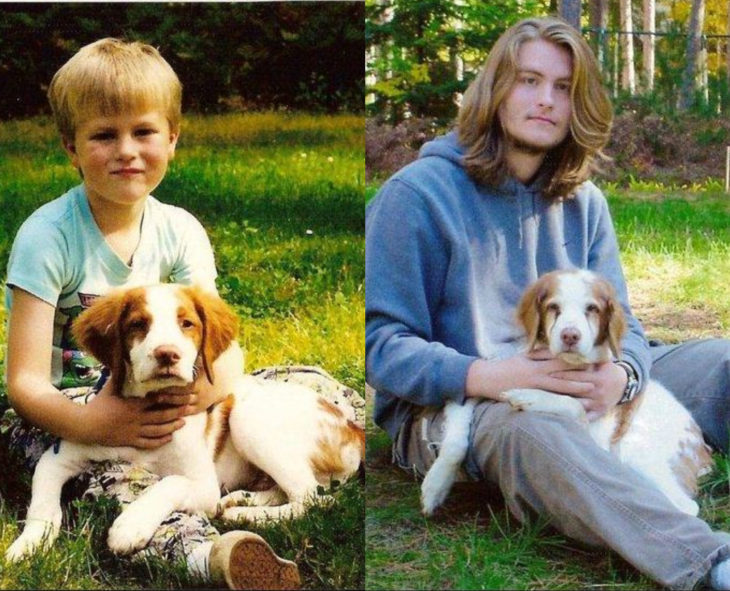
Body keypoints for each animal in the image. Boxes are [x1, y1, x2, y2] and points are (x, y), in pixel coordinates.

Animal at [2, 286, 362, 564]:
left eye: (187, 324)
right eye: (138, 324)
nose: (167, 354)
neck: (152, 405)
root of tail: (355, 429)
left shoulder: (203, 485)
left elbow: (169, 483)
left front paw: (129, 526)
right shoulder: (58, 457)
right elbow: (43, 505)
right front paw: (28, 545)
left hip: (248, 417)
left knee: (313, 498)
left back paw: (243, 516)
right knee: (293, 491)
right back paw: (244, 500)